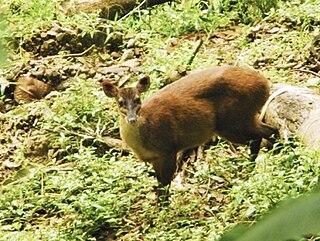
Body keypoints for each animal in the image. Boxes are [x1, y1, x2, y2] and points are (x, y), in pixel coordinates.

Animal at [102, 65, 278, 196]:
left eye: (138, 99)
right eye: (120, 102)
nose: (132, 119)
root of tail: (264, 84)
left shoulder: (168, 150)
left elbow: (165, 186)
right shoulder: (155, 158)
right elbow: (160, 185)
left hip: (233, 120)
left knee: (267, 132)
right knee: (265, 132)